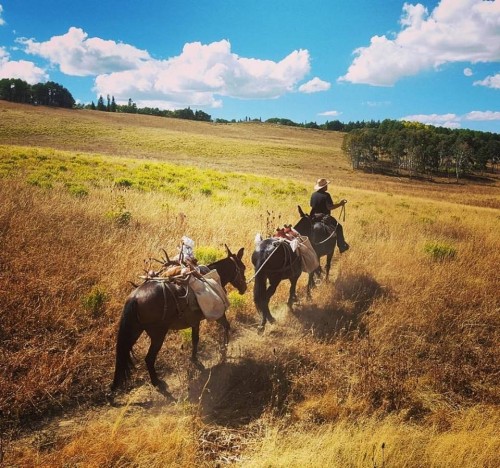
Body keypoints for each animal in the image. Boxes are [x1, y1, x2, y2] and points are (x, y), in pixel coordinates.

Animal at [111, 245, 247, 394]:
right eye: (243, 268)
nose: (244, 288)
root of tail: (134, 298)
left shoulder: (195, 322)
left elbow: (195, 339)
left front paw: (195, 359)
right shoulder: (218, 314)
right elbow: (226, 326)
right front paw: (224, 349)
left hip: (134, 331)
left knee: (124, 354)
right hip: (158, 334)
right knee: (149, 358)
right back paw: (156, 382)